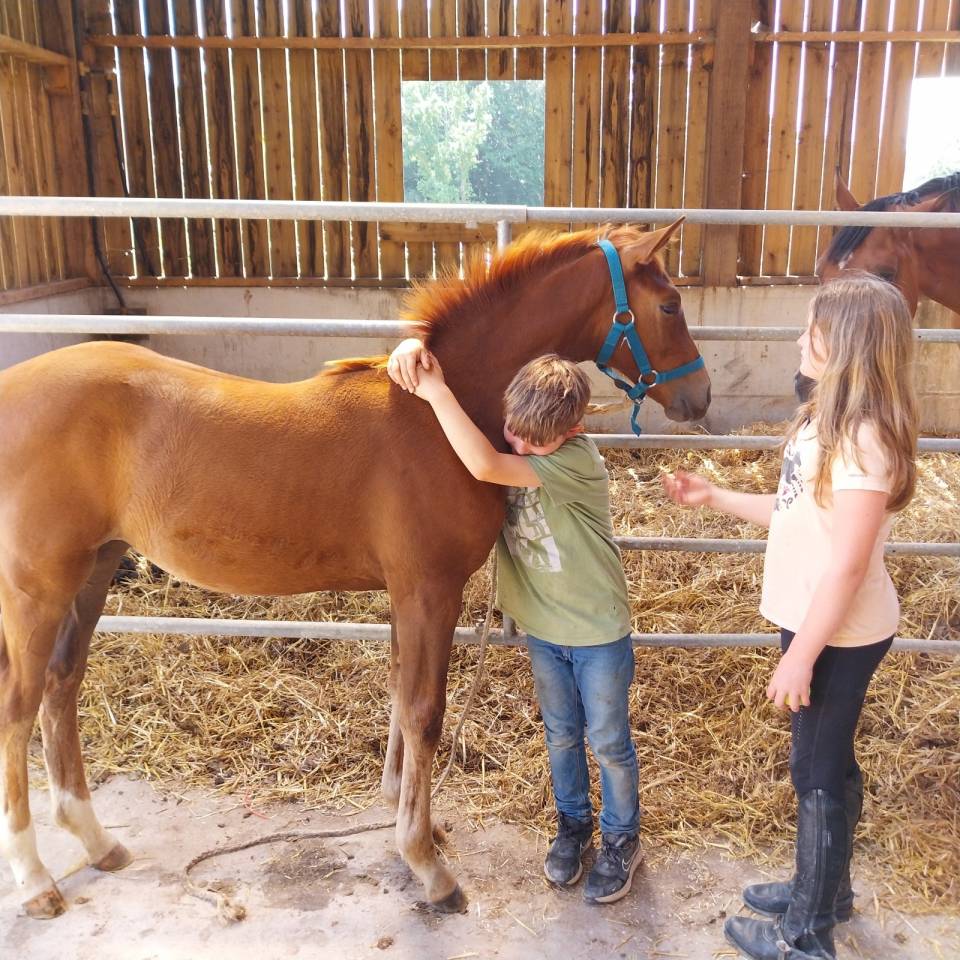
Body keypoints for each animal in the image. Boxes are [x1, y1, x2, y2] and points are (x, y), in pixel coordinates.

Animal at [0, 221, 711, 919]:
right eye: (670, 305)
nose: (698, 397)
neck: (439, 413)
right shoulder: (429, 590)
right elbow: (424, 710)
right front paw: (427, 864)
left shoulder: (404, 592)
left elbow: (399, 695)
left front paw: (412, 821)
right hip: (38, 590)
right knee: (19, 707)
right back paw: (36, 881)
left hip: (93, 570)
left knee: (62, 686)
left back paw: (97, 842)